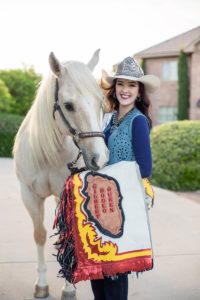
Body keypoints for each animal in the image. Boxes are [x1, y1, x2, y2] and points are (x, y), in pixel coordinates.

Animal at [12, 49, 108, 300]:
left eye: (101, 101)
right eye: (68, 105)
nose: (100, 158)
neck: (48, 154)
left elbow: (68, 236)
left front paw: (69, 287)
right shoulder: (29, 195)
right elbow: (40, 234)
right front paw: (42, 284)